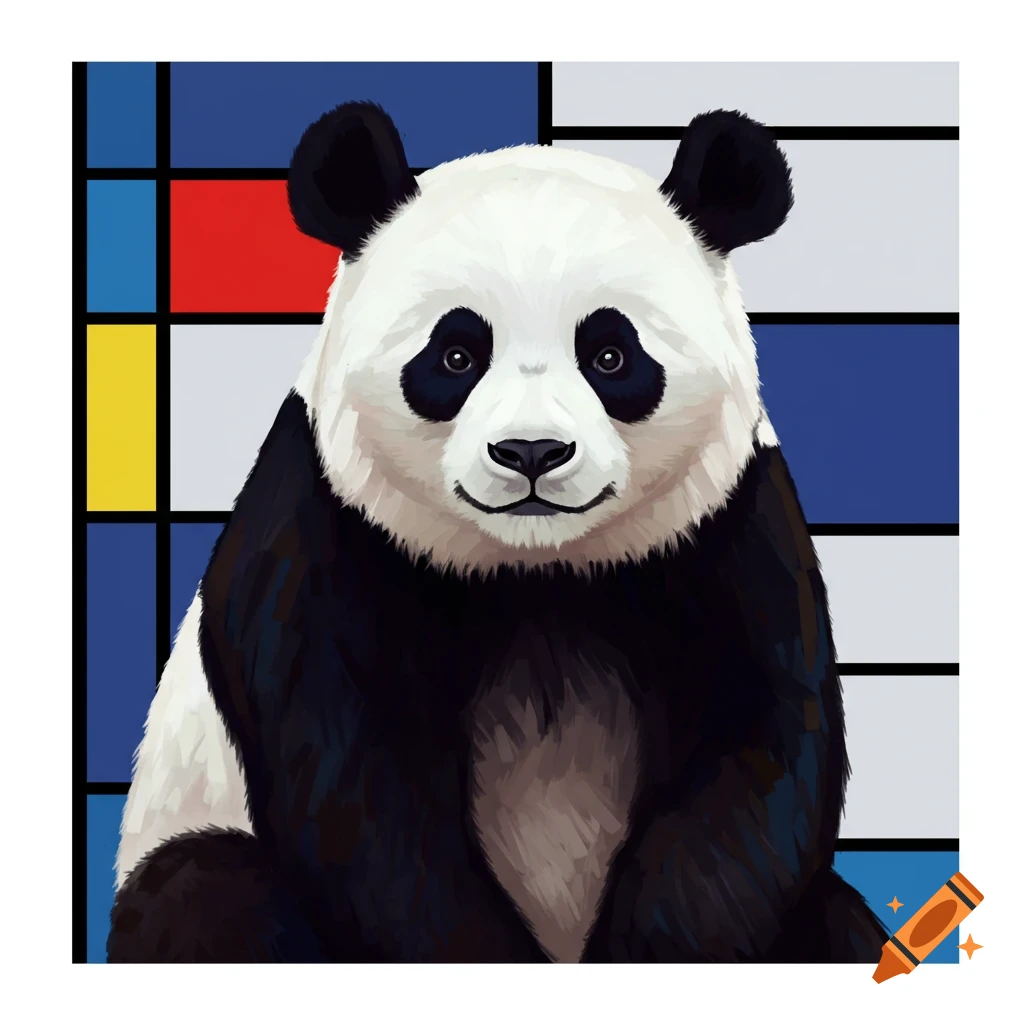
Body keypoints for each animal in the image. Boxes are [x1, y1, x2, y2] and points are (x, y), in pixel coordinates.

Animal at [109, 101, 888, 963]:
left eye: (611, 354)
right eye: (455, 355)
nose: (532, 453)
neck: (536, 572)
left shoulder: (726, 527)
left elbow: (752, 752)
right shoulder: (325, 535)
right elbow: (361, 796)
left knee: (837, 924)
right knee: (204, 891)